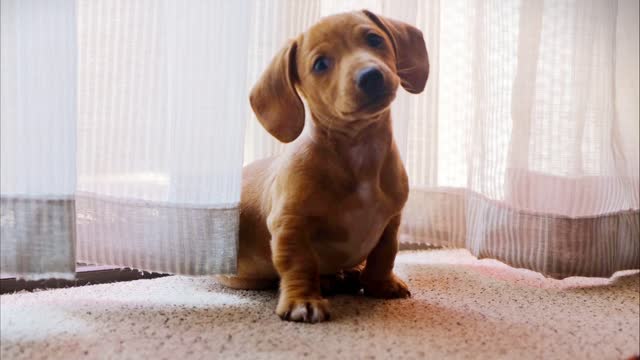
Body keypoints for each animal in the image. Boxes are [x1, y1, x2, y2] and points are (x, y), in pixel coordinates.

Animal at [219, 9, 430, 324]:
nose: (370, 76)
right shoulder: (290, 224)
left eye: (374, 39)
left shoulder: (391, 222)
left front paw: (381, 284)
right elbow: (300, 264)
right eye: (320, 64)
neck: (359, 151)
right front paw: (302, 300)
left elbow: (384, 255)